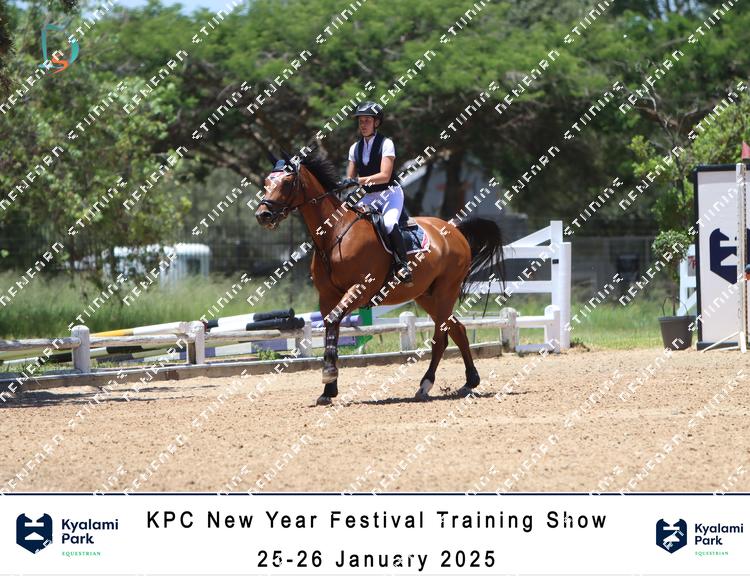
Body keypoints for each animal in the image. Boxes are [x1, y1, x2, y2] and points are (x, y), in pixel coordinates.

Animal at [255, 152, 505, 405]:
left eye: (287, 182)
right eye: (266, 182)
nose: (263, 215)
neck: (335, 233)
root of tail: (454, 231)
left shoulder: (360, 289)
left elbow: (333, 321)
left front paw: (328, 375)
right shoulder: (327, 296)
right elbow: (331, 326)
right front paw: (328, 390)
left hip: (446, 291)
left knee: (441, 338)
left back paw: (427, 385)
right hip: (427, 296)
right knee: (458, 330)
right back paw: (468, 382)